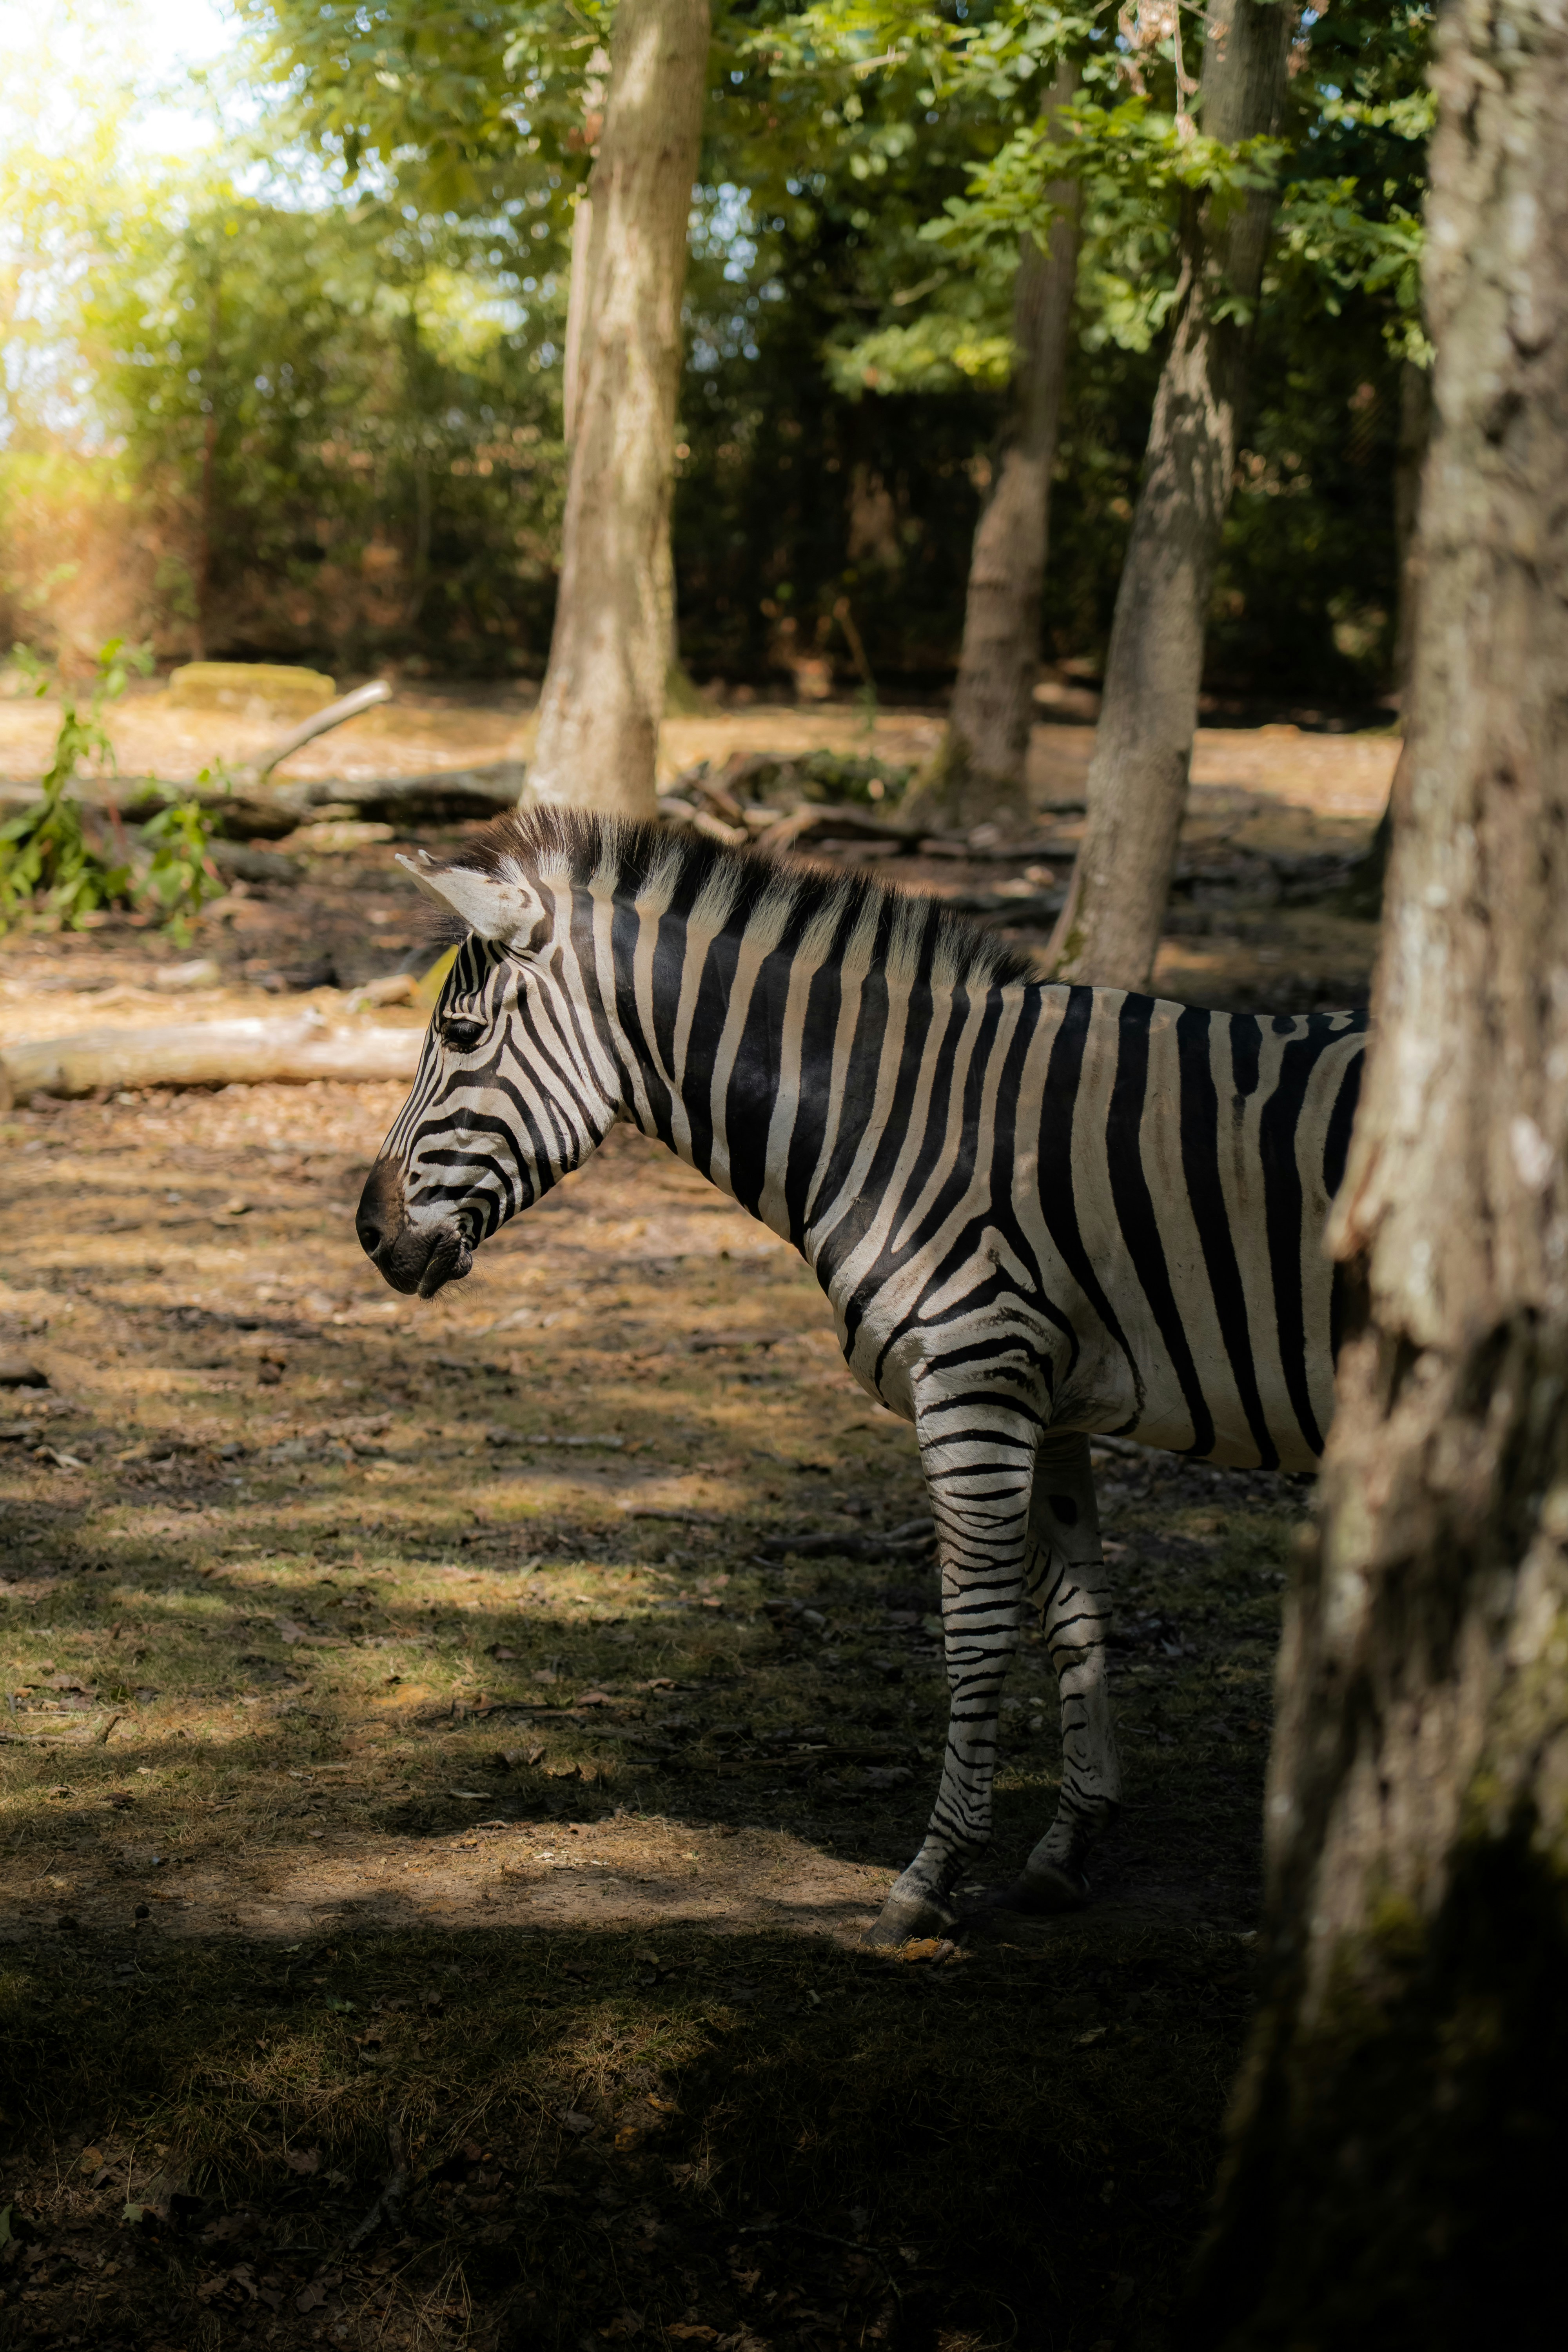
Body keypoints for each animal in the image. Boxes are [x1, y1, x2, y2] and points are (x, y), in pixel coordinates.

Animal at [355, 807, 1366, 1946]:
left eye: (460, 1039)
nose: (369, 1233)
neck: (888, 1117)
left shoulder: (973, 1375)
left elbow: (974, 1628)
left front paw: (933, 1875)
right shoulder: (1045, 1395)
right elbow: (1074, 1617)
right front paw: (1069, 1844)